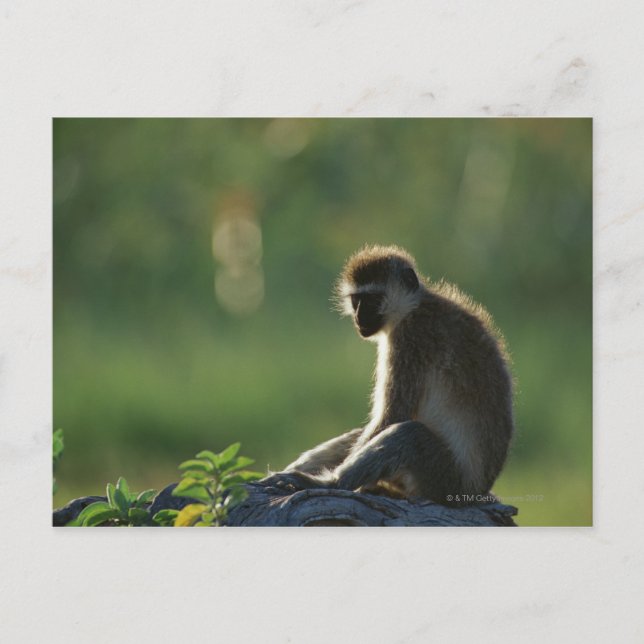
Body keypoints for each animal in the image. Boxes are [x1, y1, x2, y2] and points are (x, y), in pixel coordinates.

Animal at [262, 245, 514, 506]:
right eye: (356, 300)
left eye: (373, 300)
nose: (359, 317)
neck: (413, 307)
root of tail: (478, 490)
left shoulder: (410, 339)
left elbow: (393, 415)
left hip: (443, 480)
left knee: (407, 434)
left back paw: (330, 483)